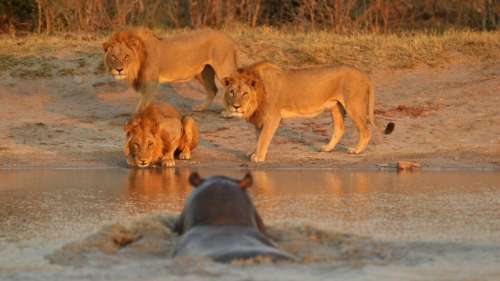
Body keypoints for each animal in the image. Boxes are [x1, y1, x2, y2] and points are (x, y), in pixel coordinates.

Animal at [102, 27, 238, 112]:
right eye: (113, 57)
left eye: (126, 56)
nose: (119, 69)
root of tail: (229, 37)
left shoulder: (151, 82)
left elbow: (142, 104)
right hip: (203, 72)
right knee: (213, 90)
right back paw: (201, 108)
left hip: (223, 69)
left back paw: (230, 112)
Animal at [223, 61, 394, 162]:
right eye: (232, 92)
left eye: (245, 93)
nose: (236, 106)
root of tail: (364, 74)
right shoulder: (260, 118)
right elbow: (258, 137)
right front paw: (253, 153)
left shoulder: (272, 117)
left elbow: (263, 138)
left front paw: (258, 157)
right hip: (335, 106)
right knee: (340, 128)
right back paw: (327, 148)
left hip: (354, 105)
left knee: (365, 130)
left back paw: (356, 151)